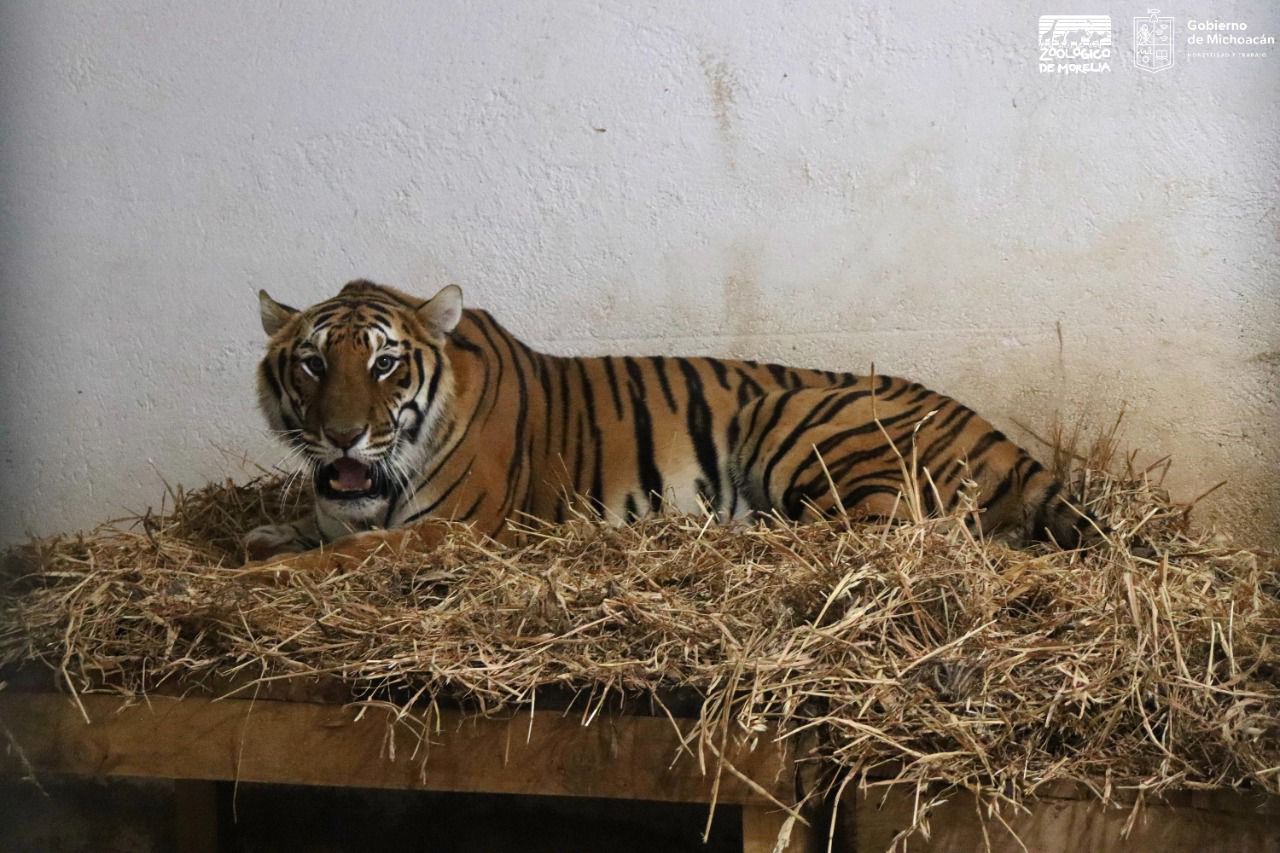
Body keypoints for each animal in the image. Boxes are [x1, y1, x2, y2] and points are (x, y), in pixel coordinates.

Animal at [244, 280, 1095, 571]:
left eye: (385, 364)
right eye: (312, 364)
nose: (343, 436)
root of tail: (990, 428)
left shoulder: (452, 528)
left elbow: (335, 559)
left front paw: (257, 575)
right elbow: (308, 535)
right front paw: (262, 537)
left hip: (791, 416)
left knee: (873, 533)